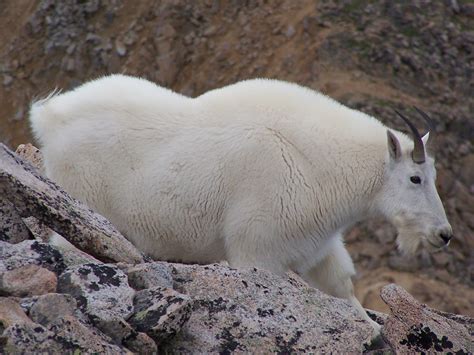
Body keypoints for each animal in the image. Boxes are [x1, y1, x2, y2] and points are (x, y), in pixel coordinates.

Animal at [28, 75, 452, 334]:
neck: (317, 161)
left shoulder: (318, 245)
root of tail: (50, 116)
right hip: (82, 207)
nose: (443, 235)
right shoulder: (258, 249)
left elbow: (343, 289)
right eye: (415, 178)